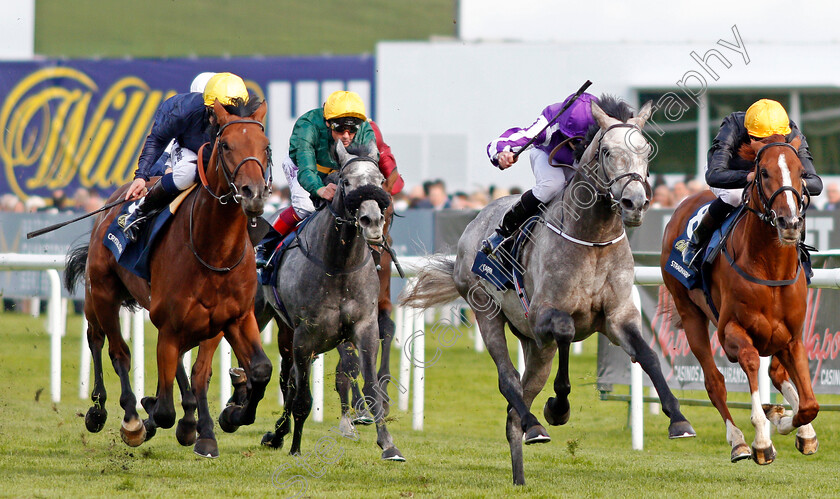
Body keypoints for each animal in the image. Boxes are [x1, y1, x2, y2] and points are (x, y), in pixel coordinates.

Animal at [64, 95, 272, 458]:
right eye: (226, 145)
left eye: (266, 146)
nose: (254, 194)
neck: (214, 250)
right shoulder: (171, 325)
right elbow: (163, 409)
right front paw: (153, 418)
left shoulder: (232, 318)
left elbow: (250, 370)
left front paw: (221, 422)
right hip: (101, 293)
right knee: (108, 344)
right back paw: (112, 413)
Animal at [254, 140, 406, 460]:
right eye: (346, 182)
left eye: (380, 182)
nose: (371, 222)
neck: (339, 264)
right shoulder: (306, 334)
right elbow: (303, 395)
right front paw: (296, 448)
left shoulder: (364, 326)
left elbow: (369, 383)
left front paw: (388, 443)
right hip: (269, 318)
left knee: (289, 376)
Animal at [400, 96, 696, 484]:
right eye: (606, 151)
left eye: (646, 150)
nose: (635, 203)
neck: (592, 239)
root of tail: (473, 224)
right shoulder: (544, 315)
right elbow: (567, 331)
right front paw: (558, 407)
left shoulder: (617, 316)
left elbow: (647, 355)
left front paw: (678, 419)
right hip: (487, 314)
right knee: (508, 380)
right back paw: (536, 424)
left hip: (535, 346)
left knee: (516, 407)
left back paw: (521, 470)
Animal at [660, 136, 816, 464]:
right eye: (764, 173)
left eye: (801, 172)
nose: (790, 222)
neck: (770, 267)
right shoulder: (731, 330)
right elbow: (750, 360)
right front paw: (762, 440)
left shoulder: (792, 337)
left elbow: (809, 404)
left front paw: (790, 422)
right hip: (690, 313)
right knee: (714, 381)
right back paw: (738, 441)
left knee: (776, 373)